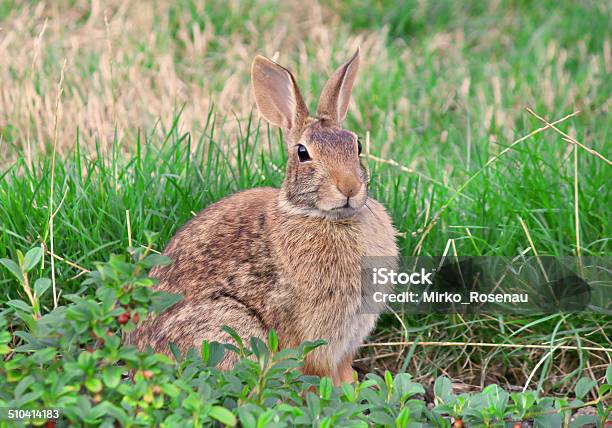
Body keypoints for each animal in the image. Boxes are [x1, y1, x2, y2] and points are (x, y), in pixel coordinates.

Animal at [126, 48, 400, 386]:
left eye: (357, 145)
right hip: (229, 328)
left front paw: (354, 386)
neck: (323, 216)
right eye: (302, 153)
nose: (349, 187)